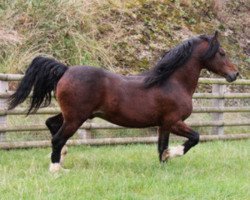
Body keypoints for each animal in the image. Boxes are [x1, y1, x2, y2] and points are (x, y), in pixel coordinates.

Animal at [7, 31, 238, 172]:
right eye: (222, 52)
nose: (235, 74)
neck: (172, 82)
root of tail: (65, 70)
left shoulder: (163, 124)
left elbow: (161, 147)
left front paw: (165, 163)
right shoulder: (173, 122)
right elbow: (194, 138)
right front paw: (174, 153)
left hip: (72, 115)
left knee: (51, 125)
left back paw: (61, 157)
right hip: (76, 118)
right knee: (57, 138)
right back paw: (56, 168)